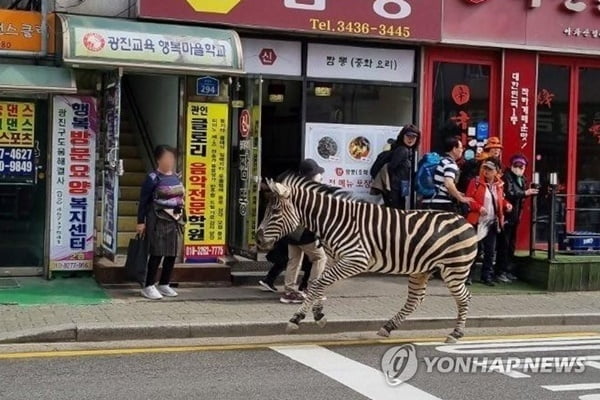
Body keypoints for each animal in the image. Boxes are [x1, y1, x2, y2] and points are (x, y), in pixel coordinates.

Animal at [255, 173, 480, 342]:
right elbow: (318, 283)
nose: (257, 239)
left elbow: (318, 283)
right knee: (415, 299)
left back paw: (456, 333)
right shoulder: (335, 259)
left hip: (454, 269)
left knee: (464, 297)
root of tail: (464, 221)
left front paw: (297, 318)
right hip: (421, 269)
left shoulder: (356, 259)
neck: (334, 221)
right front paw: (318, 314)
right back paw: (388, 327)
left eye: (275, 211)